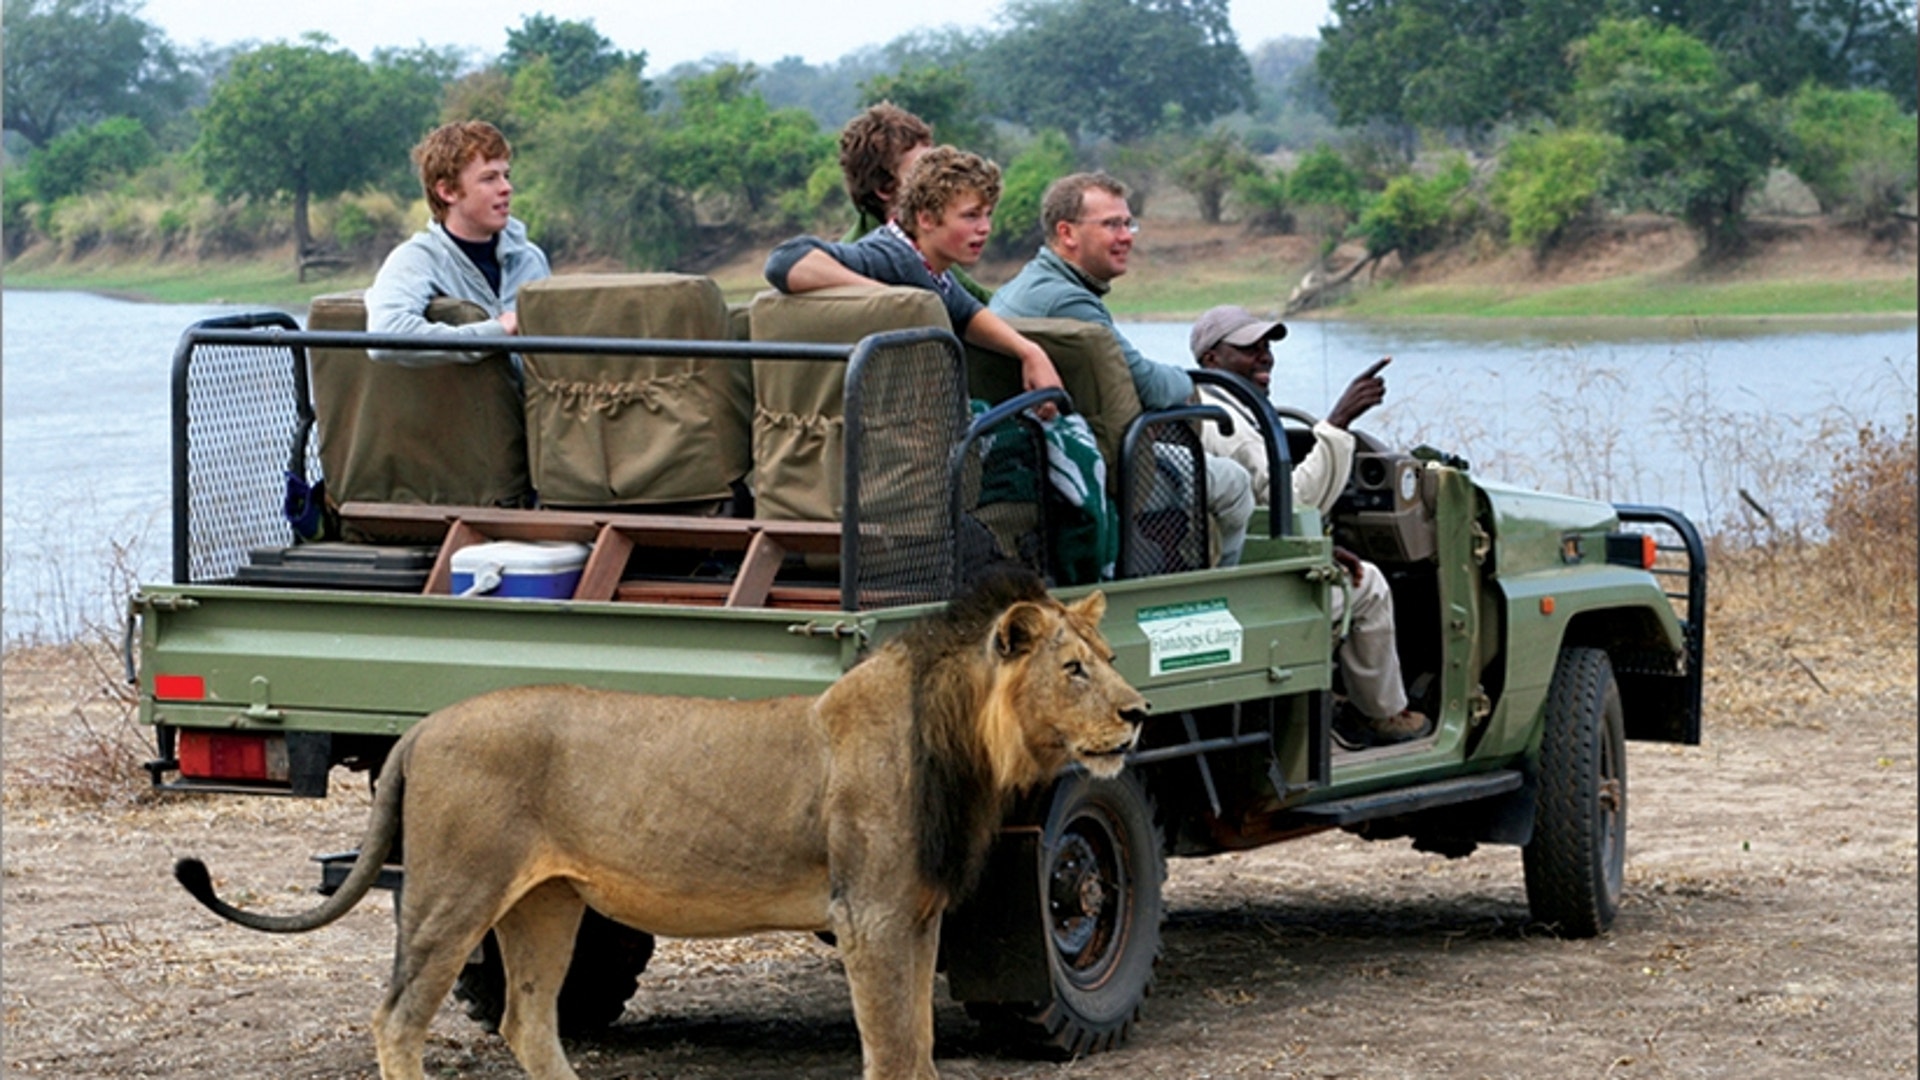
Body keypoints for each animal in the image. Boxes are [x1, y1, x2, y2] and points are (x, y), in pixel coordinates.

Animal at [176, 564, 1136, 1076]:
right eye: (1074, 669)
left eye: (1110, 657)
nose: (1137, 715)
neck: (965, 744)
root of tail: (422, 726)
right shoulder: (870, 915)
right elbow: (895, 1049)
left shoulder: (921, 913)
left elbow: (923, 1046)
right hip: (455, 892)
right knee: (399, 1018)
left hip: (545, 902)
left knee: (529, 1019)